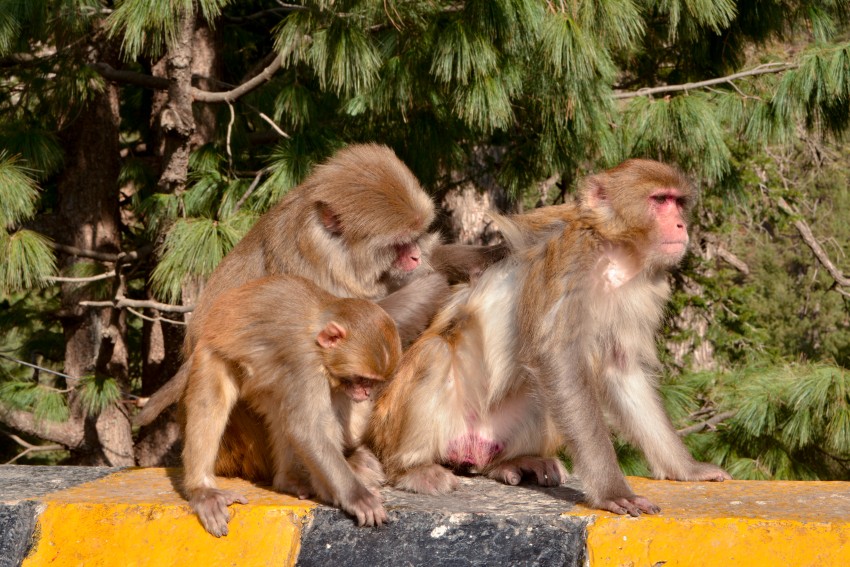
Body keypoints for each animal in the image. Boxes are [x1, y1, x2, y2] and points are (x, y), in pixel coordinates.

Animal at [181, 274, 401, 536]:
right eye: (361, 379)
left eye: (372, 382)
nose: (366, 393)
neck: (317, 333)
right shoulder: (305, 360)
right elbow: (306, 429)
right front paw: (357, 496)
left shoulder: (332, 377)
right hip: (211, 351)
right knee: (210, 404)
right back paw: (202, 491)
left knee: (281, 409)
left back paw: (289, 480)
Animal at [367, 159, 731, 516]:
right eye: (660, 200)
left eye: (678, 202)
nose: (681, 225)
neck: (614, 252)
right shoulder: (571, 258)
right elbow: (558, 359)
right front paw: (612, 491)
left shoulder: (643, 289)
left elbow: (621, 369)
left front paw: (687, 469)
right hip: (396, 424)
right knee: (436, 352)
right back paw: (411, 469)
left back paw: (512, 463)